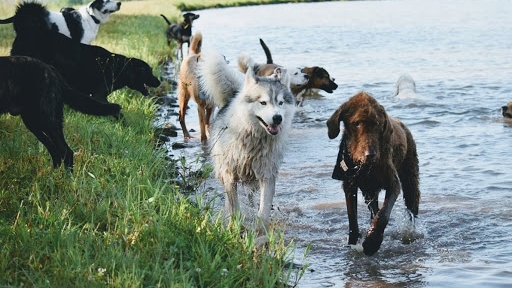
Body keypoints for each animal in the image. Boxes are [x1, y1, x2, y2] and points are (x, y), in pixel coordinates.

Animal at [199, 51, 298, 232]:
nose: (277, 118)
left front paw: (261, 232)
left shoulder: (267, 175)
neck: (253, 138)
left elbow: (263, 211)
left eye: (281, 103)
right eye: (263, 102)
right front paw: (236, 226)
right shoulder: (229, 176)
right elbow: (234, 207)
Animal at [328, 91, 420, 255]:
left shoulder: (393, 184)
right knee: (374, 209)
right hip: (369, 191)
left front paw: (372, 243)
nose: (370, 155)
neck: (366, 167)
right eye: (356, 123)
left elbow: (383, 215)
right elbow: (353, 219)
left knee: (412, 206)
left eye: (377, 123)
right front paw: (354, 243)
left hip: (410, 178)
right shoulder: (350, 185)